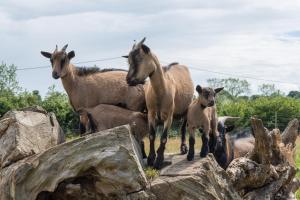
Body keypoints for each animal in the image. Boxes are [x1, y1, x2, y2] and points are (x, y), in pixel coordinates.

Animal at [125, 37, 193, 169]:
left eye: (140, 58)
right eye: (128, 61)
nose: (129, 80)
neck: (161, 91)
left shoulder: (169, 115)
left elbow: (164, 138)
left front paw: (159, 160)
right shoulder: (151, 114)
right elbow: (152, 135)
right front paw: (151, 158)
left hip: (187, 108)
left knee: (183, 128)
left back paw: (183, 148)